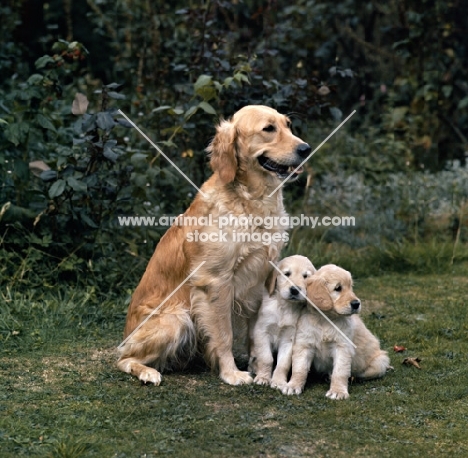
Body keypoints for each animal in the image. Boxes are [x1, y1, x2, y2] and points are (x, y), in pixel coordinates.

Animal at [249, 254, 314, 390]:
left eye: (305, 276)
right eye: (287, 274)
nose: (295, 290)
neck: (284, 307)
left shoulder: (288, 339)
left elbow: (283, 364)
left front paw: (278, 381)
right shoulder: (262, 332)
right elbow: (266, 358)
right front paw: (263, 378)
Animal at [284, 262, 390, 398]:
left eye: (351, 287)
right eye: (338, 288)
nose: (356, 304)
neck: (325, 319)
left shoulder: (342, 346)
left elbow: (340, 372)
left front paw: (338, 391)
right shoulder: (304, 344)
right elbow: (299, 369)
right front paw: (293, 385)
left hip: (380, 361)